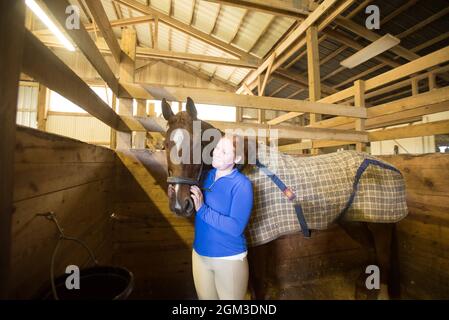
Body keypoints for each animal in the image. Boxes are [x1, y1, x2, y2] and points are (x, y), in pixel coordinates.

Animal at [161, 97, 406, 300]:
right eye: (165, 145)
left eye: (196, 144)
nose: (179, 204)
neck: (245, 166)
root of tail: (390, 167)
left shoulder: (260, 242)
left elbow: (258, 282)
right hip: (355, 223)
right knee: (373, 253)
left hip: (381, 226)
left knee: (383, 258)